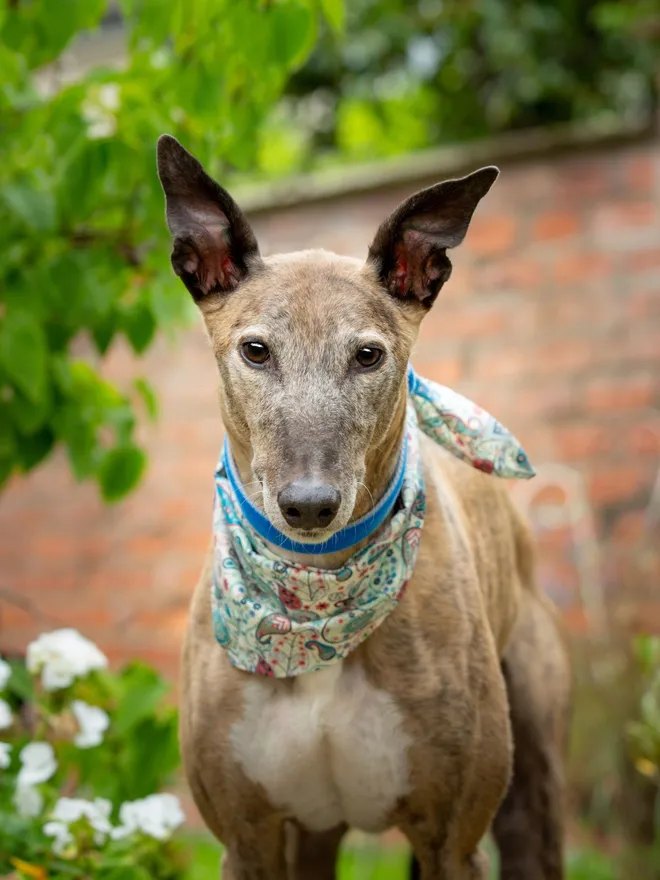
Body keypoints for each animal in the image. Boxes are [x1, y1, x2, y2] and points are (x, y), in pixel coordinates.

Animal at [157, 132, 568, 880]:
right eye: (255, 350)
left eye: (369, 356)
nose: (308, 506)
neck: (313, 597)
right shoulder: (247, 841)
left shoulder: (452, 843)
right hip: (313, 835)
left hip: (533, 792)